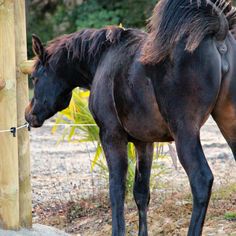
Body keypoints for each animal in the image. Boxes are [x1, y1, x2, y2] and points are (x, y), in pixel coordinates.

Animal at [25, 0, 236, 235]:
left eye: (34, 78)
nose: (29, 114)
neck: (102, 59)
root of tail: (219, 33)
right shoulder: (144, 142)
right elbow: (141, 193)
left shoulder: (111, 136)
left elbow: (117, 190)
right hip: (228, 124)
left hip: (185, 133)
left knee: (201, 181)